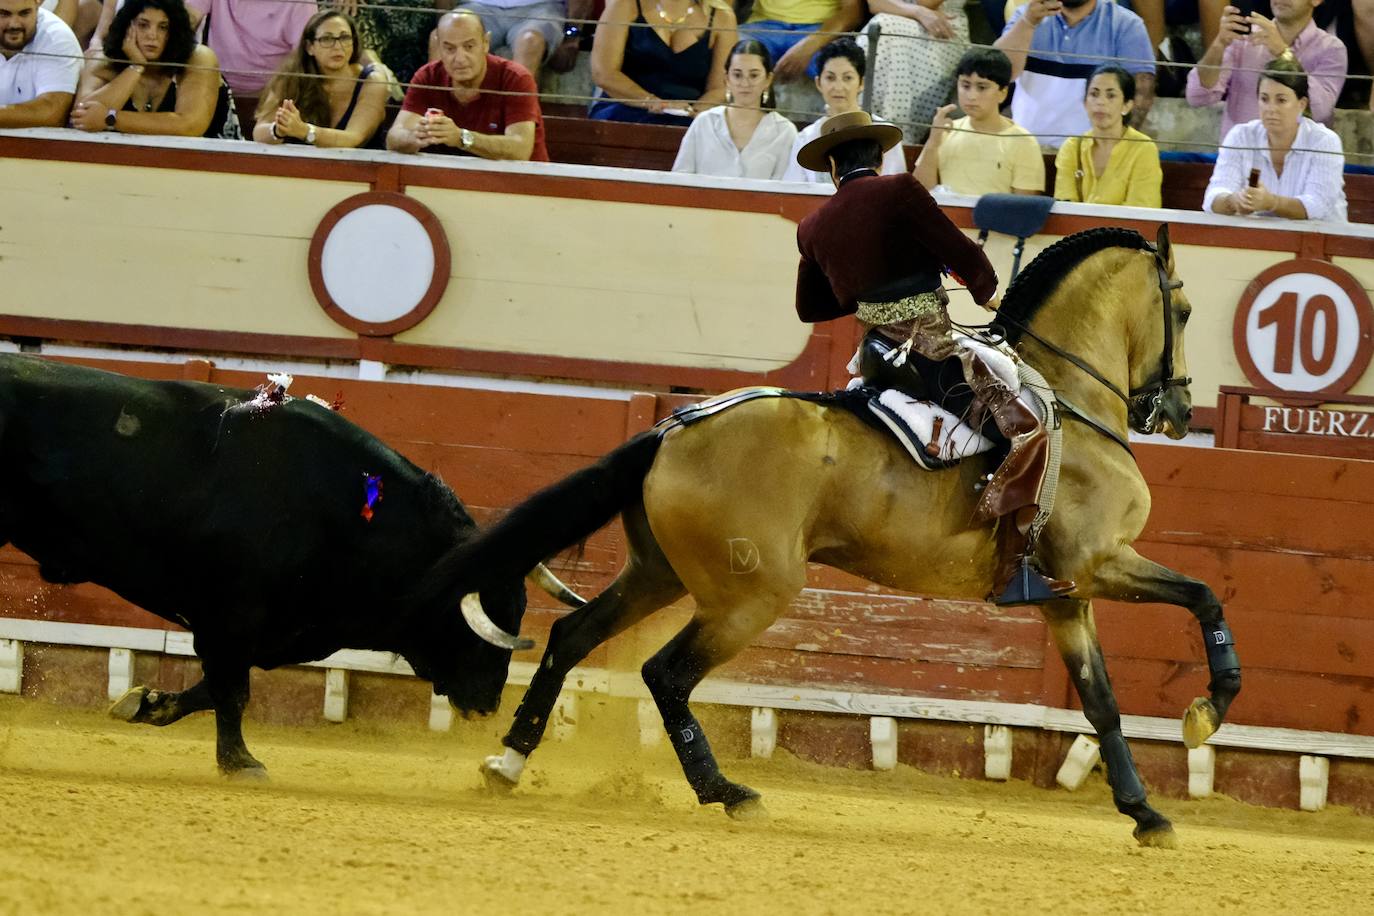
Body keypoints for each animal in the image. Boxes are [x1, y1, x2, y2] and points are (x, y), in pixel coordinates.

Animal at [1, 354, 563, 780]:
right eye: (478, 623)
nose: (490, 702)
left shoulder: (265, 631)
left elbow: (211, 689)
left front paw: (144, 703)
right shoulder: (230, 616)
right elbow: (232, 691)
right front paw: (241, 763)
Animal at [453, 225, 1247, 851]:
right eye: (1183, 309)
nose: (1177, 410)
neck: (1069, 400)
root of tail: (672, 428)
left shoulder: (1065, 596)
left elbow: (1101, 700)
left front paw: (1146, 813)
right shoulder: (1100, 563)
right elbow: (1204, 594)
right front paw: (1209, 709)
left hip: (660, 574)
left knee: (573, 636)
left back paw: (508, 763)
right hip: (750, 595)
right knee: (666, 674)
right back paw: (726, 792)